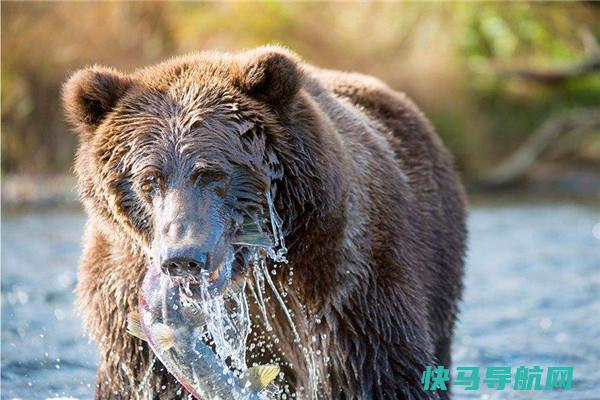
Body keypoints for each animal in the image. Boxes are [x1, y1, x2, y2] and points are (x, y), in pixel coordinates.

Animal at [63, 45, 466, 398]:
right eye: (149, 180)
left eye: (212, 173)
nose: (183, 258)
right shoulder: (123, 296)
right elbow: (145, 379)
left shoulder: (345, 279)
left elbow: (372, 371)